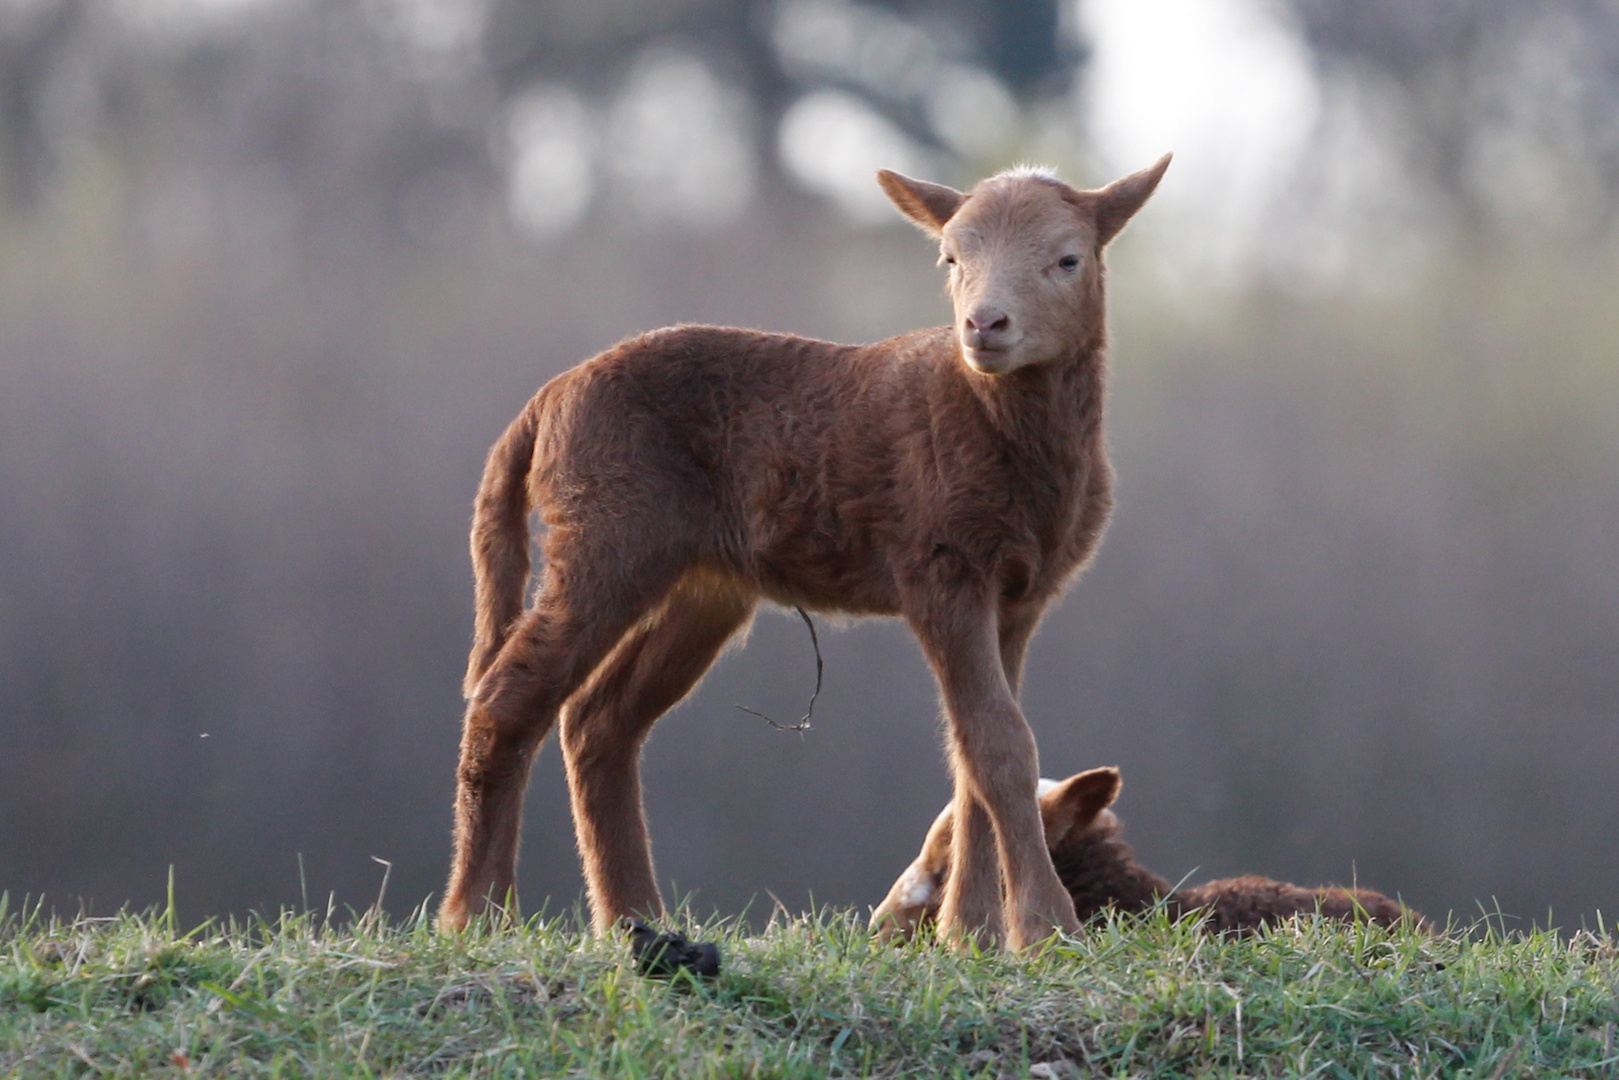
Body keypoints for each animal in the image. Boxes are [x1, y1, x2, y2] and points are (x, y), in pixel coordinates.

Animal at [437, 156, 1172, 952]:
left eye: (1069, 260)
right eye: (950, 258)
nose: (984, 325)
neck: (1002, 431)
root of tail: (542, 404)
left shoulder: (1020, 593)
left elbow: (973, 754)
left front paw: (968, 933)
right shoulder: (938, 566)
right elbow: (1001, 744)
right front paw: (1043, 929)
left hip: (701, 583)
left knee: (599, 719)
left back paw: (637, 918)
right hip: (605, 533)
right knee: (508, 696)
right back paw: (476, 912)